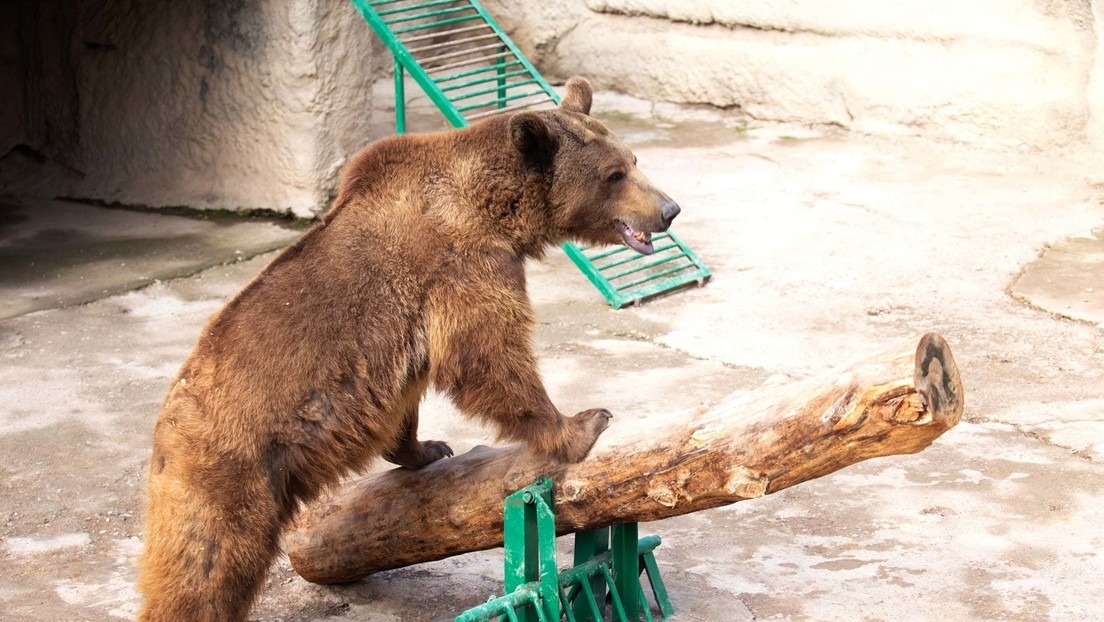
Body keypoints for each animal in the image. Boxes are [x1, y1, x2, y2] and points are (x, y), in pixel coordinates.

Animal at [138, 77, 680, 622]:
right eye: (614, 174)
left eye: (633, 159)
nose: (669, 210)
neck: (495, 210)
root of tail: (166, 422)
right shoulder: (463, 266)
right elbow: (488, 355)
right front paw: (582, 423)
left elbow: (413, 395)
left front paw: (428, 448)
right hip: (230, 469)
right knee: (205, 565)